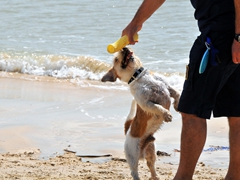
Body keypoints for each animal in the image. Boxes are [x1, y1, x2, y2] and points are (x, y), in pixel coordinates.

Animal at [101, 47, 178, 180]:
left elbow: (176, 92)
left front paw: (177, 104)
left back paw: (155, 176)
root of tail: (127, 131)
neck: (139, 76)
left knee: (150, 165)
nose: (124, 48)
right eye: (116, 59)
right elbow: (157, 107)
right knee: (134, 171)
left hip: (151, 152)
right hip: (132, 156)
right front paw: (166, 114)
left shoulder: (167, 87)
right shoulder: (145, 103)